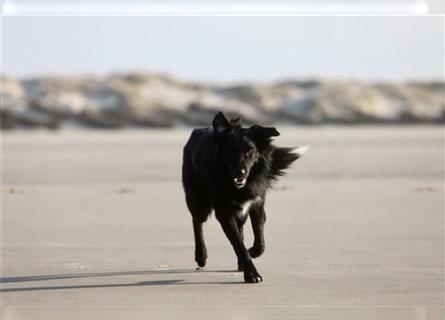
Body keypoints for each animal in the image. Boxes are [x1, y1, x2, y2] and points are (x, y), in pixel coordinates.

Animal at [182, 112, 306, 282]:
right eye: (228, 152)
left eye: (250, 151)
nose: (239, 173)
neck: (238, 187)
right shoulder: (224, 213)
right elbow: (238, 245)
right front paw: (252, 273)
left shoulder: (257, 205)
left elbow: (260, 241)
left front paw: (252, 252)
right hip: (198, 200)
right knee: (197, 222)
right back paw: (201, 256)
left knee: (239, 228)